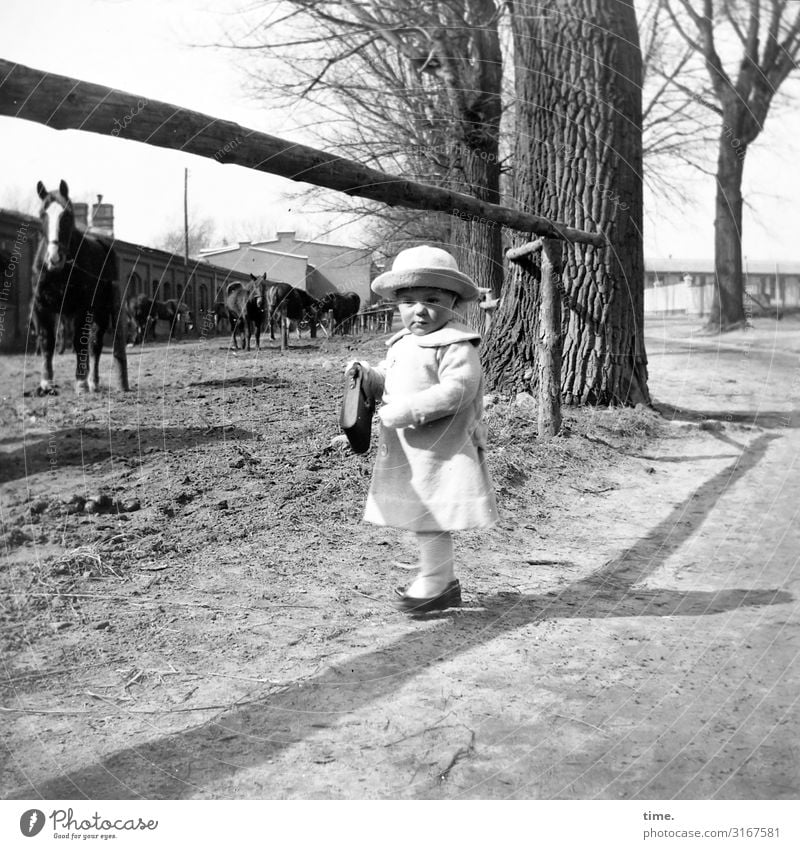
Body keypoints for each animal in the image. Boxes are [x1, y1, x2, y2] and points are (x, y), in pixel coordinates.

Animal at [31, 179, 128, 394]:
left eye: (67, 215)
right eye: (42, 214)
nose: (54, 258)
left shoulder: (82, 308)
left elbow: (80, 342)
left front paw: (81, 382)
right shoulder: (41, 308)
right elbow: (47, 341)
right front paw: (46, 382)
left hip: (101, 311)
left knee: (95, 344)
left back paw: (93, 381)